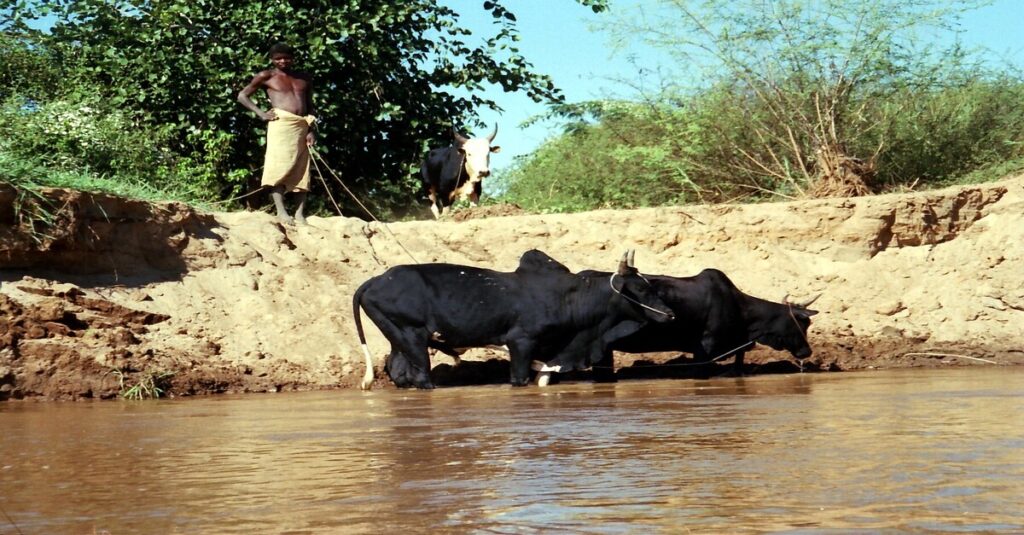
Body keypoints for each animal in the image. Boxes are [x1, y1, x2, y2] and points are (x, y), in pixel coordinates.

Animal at [350, 248, 671, 389]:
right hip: (412, 336)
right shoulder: (521, 343)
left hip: (398, 338)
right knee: (420, 376)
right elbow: (519, 378)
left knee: (398, 371)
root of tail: (376, 280)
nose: (669, 313)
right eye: (641, 287)